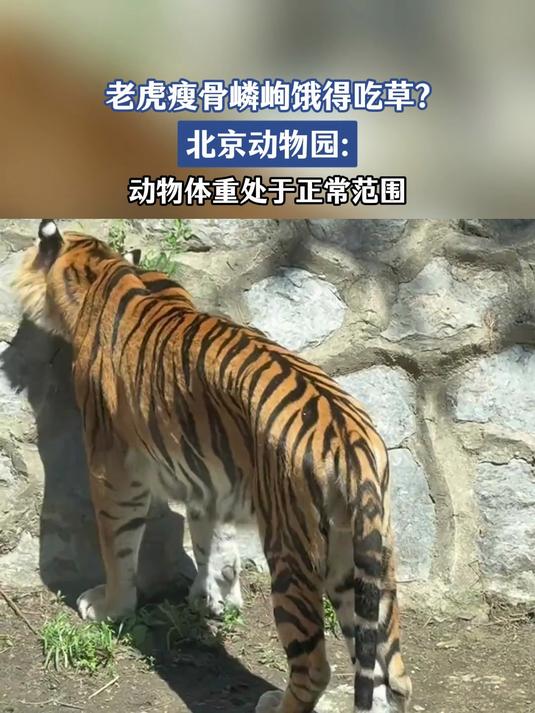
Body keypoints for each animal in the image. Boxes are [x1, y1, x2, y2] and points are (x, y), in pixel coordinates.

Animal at [13, 220, 412, 713]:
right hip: (357, 557)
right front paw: (214, 595)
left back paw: (274, 702)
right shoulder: (208, 474)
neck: (107, 271)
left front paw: (110, 606)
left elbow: (118, 547)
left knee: (315, 666)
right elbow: (210, 539)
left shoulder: (113, 470)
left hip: (293, 555)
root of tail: (350, 437)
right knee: (390, 669)